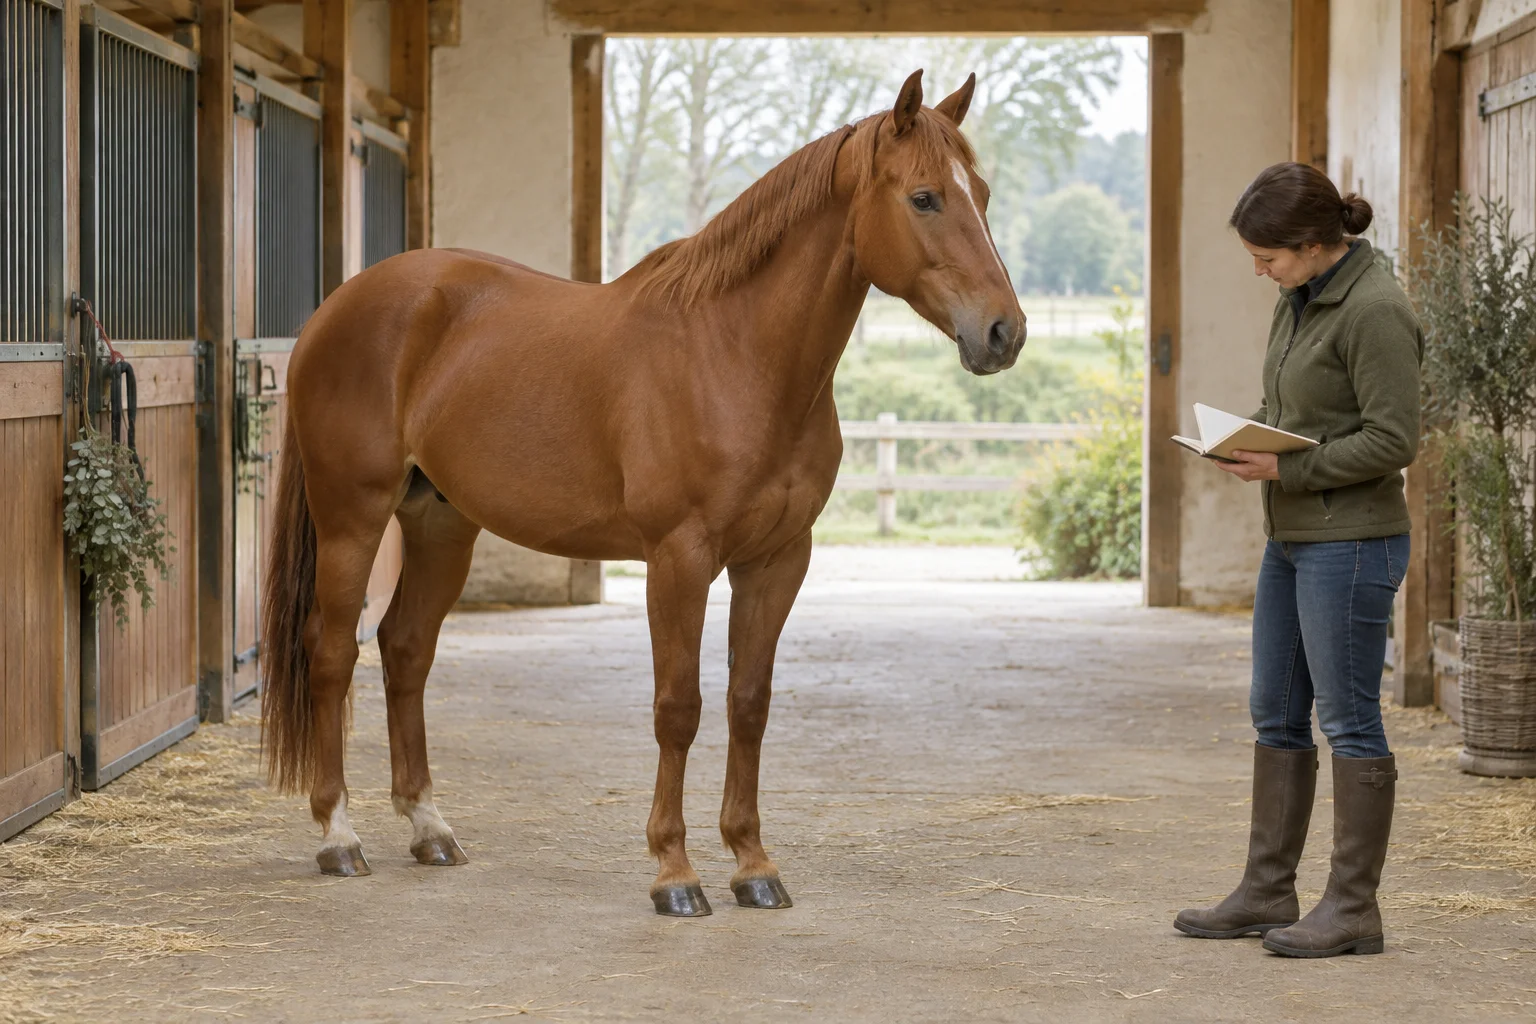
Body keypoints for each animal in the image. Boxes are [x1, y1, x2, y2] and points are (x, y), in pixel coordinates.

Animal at [261, 68, 1025, 917]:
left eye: (981, 193)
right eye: (925, 197)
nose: (1004, 332)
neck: (736, 356)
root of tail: (335, 310)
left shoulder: (778, 560)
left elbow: (748, 702)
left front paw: (754, 865)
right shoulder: (679, 559)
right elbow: (678, 708)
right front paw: (675, 873)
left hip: (440, 524)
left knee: (405, 649)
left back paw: (430, 830)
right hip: (353, 519)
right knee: (332, 652)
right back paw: (339, 837)